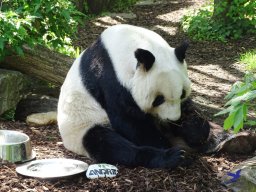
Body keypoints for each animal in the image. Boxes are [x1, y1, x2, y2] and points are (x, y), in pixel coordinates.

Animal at [58, 24, 210, 170]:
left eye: (182, 93)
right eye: (158, 99)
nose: (172, 119)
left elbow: (190, 109)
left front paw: (195, 131)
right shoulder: (109, 79)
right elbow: (129, 120)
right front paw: (166, 146)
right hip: (81, 126)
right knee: (106, 143)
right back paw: (172, 157)